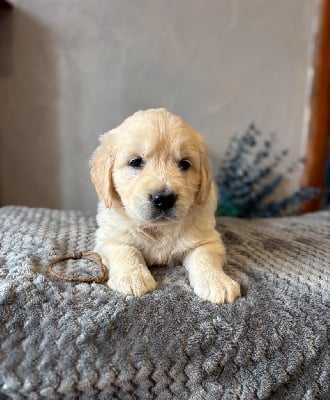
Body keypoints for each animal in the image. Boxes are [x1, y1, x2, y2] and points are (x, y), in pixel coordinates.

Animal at [90, 108, 240, 304]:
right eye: (135, 162)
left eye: (184, 163)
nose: (163, 199)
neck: (159, 229)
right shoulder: (108, 239)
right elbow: (126, 250)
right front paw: (132, 277)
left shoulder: (208, 241)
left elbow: (205, 257)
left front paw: (217, 282)